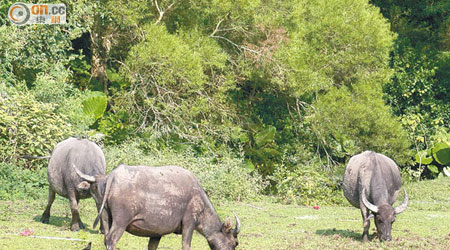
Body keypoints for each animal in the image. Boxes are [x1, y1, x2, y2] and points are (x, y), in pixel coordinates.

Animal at [75, 164, 241, 250]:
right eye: (235, 242)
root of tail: (112, 176)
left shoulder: (156, 233)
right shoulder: (189, 223)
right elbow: (186, 246)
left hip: (104, 215)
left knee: (105, 238)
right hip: (121, 221)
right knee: (111, 239)